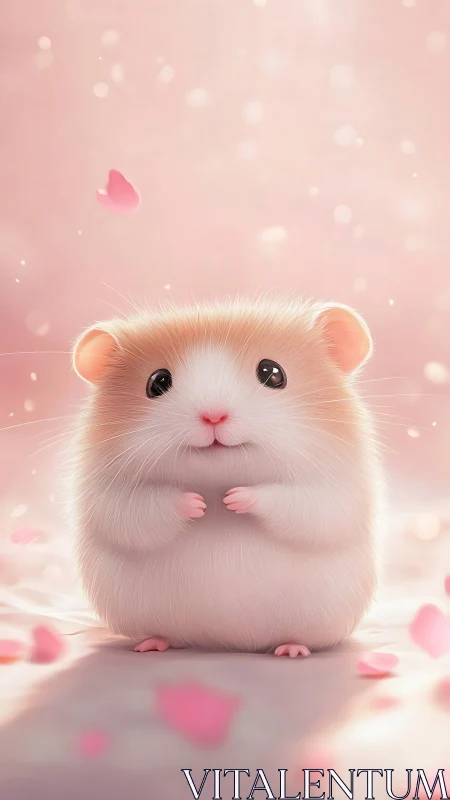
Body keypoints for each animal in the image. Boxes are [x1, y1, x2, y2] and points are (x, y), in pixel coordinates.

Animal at [69, 296, 381, 657]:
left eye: (273, 373)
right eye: (157, 382)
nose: (213, 416)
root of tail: (225, 642)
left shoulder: (336, 490)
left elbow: (300, 504)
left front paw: (234, 498)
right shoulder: (108, 493)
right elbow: (140, 511)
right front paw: (198, 503)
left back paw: (292, 649)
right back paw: (151, 645)